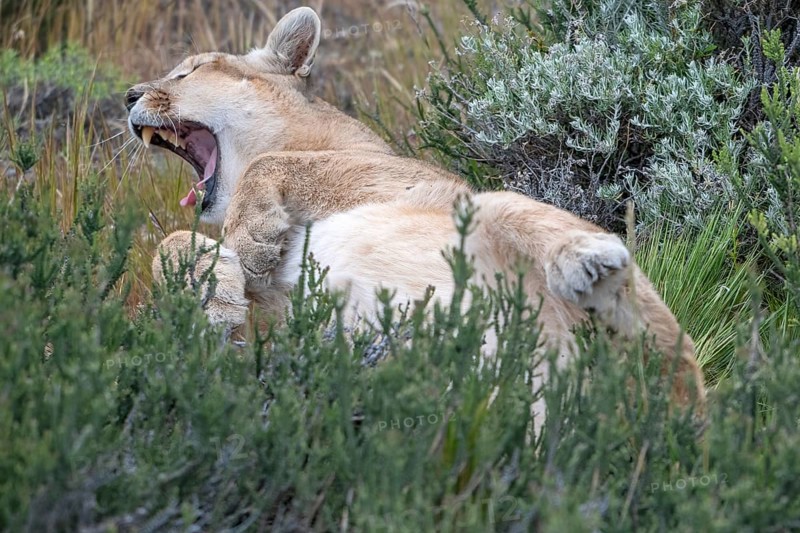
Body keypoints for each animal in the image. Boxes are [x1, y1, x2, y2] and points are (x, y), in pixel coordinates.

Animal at [126, 7, 705, 424]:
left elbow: (274, 165)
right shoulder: (276, 322)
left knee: (673, 357)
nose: (129, 94)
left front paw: (250, 239)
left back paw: (589, 267)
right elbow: (169, 245)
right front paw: (214, 292)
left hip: (492, 203)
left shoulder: (386, 173)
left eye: (188, 70)